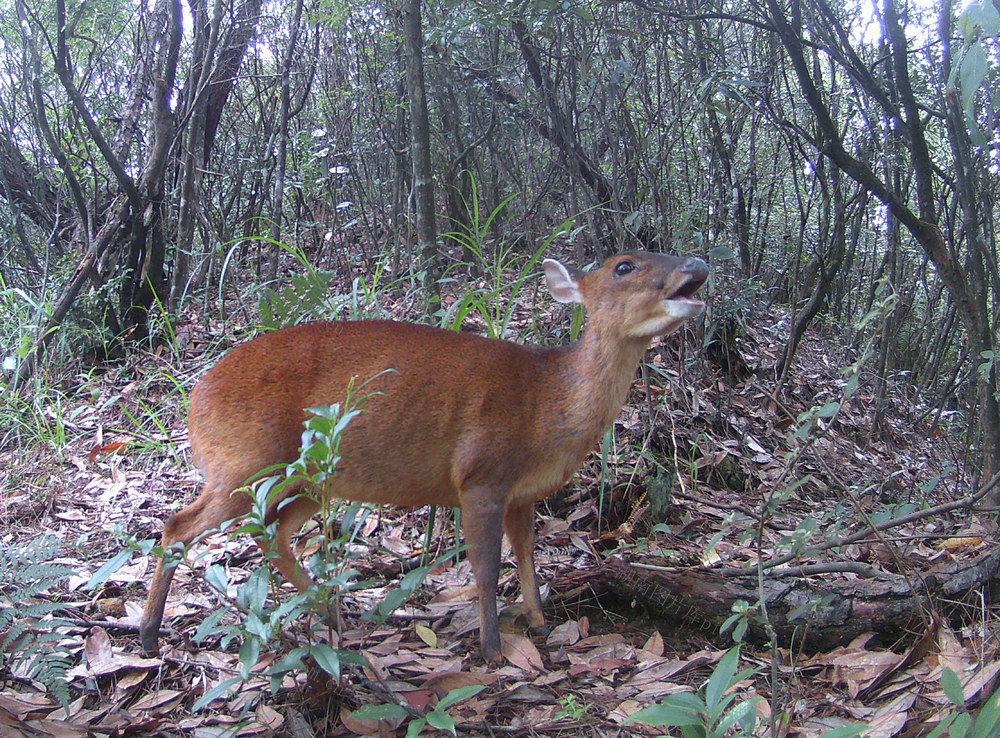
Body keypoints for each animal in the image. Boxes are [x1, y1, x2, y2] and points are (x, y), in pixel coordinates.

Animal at [141, 250, 708, 660]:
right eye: (625, 265)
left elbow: (528, 557)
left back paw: (332, 613)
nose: (698, 265)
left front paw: (541, 625)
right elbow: (485, 567)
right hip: (246, 462)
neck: (548, 402)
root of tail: (194, 400)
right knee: (177, 525)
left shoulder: (523, 494)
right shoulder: (480, 475)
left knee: (272, 534)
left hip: (306, 480)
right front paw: (492, 649)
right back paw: (148, 634)